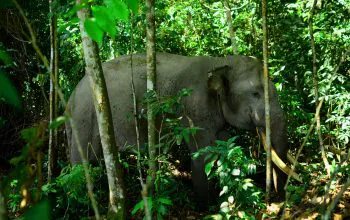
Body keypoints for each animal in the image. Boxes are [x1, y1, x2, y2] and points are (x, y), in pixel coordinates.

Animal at [65, 52, 288, 207]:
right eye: (255, 93)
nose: (277, 199)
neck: (219, 61)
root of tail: (70, 98)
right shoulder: (193, 109)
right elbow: (202, 155)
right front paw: (208, 207)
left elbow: (222, 145)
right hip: (83, 120)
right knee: (81, 166)